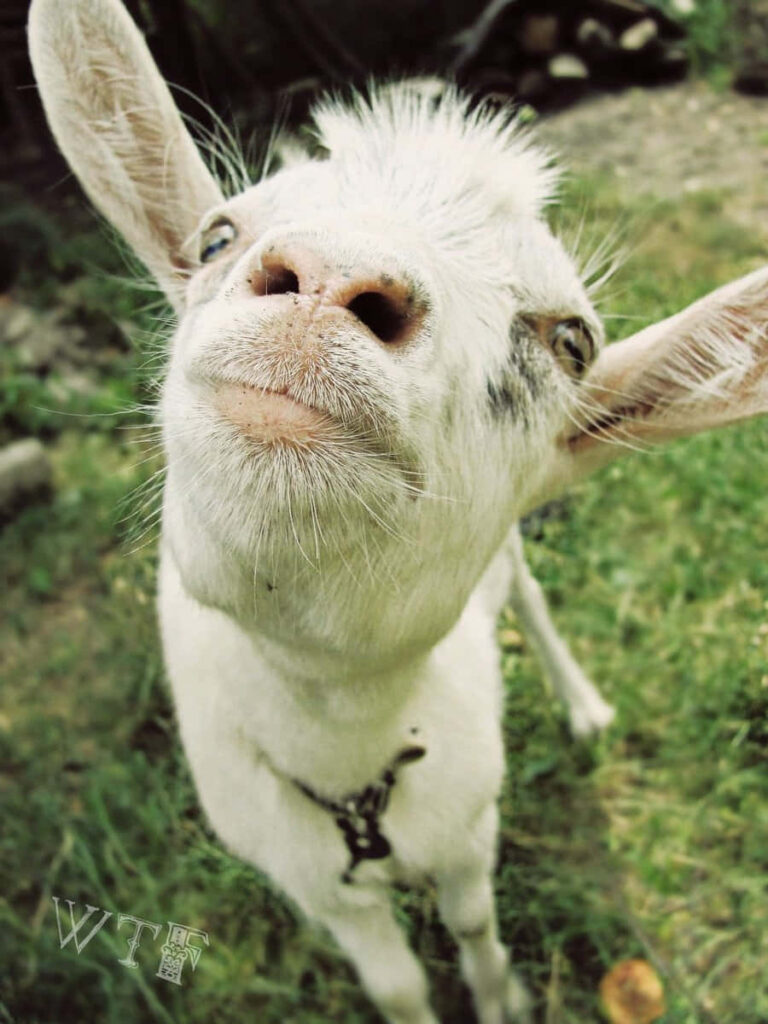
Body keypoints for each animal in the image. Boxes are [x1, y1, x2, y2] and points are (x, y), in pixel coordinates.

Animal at [28, 1, 768, 1020]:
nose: (333, 281)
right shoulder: (317, 888)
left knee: (530, 595)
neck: (348, 763)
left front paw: (503, 999)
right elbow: (396, 982)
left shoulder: (469, 830)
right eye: (217, 236)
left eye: (573, 343)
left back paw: (583, 709)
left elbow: (474, 926)